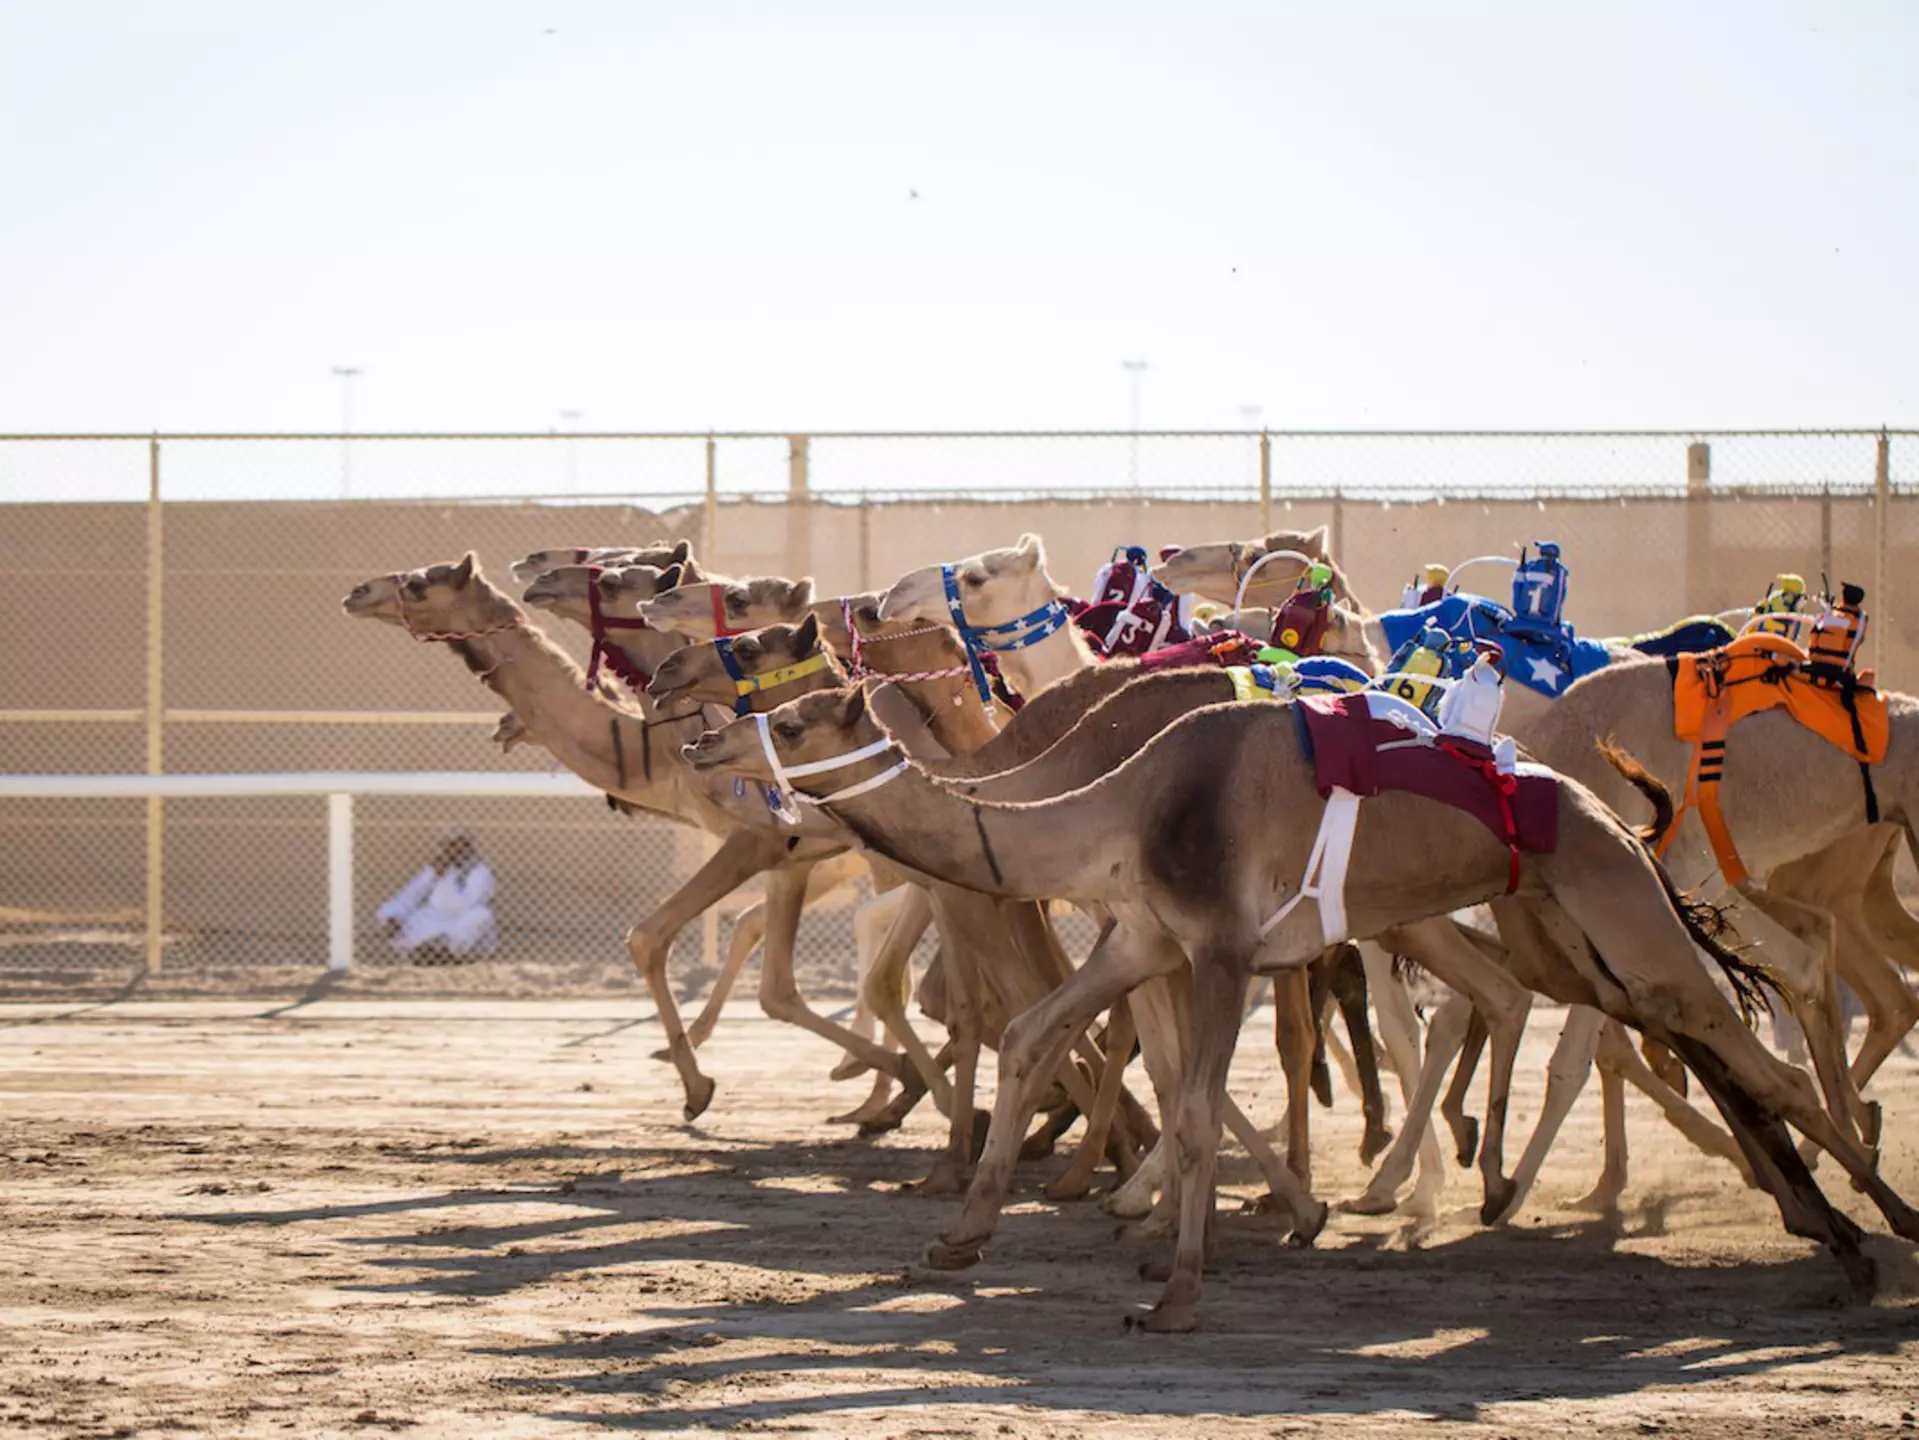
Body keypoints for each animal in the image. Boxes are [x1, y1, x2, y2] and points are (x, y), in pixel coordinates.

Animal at [685, 682, 1919, 1329]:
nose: (699, 741)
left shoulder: (1222, 945)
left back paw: (1879, 1235)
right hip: (1564, 930)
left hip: (1610, 900)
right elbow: (1036, 1033)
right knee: (1688, 1038)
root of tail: (1612, 812)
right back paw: (1831, 1235)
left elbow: (1188, 1106)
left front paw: (1177, 1292)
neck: (1119, 804)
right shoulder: (1146, 935)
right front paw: (956, 1240)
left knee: (1741, 1046)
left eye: (797, 719)